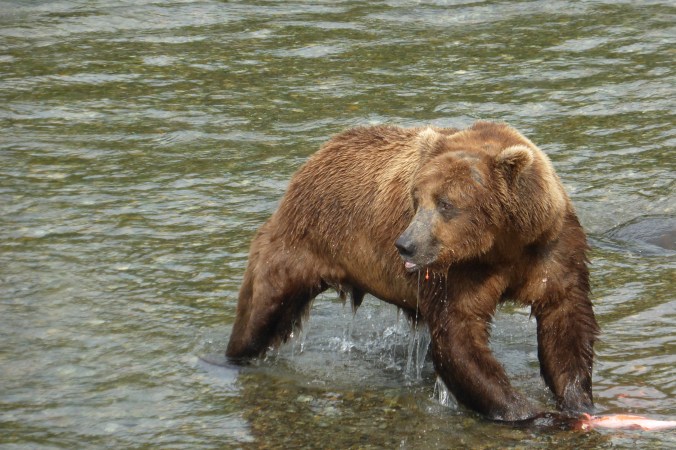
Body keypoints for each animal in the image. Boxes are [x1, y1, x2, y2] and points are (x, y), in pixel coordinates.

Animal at [226, 121, 599, 422]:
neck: (499, 245)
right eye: (417, 199)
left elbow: (564, 319)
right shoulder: (456, 272)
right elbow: (459, 336)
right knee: (262, 309)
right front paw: (528, 411)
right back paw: (232, 356)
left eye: (446, 203)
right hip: (298, 243)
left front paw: (577, 401)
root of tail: (313, 159)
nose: (405, 244)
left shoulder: (549, 246)